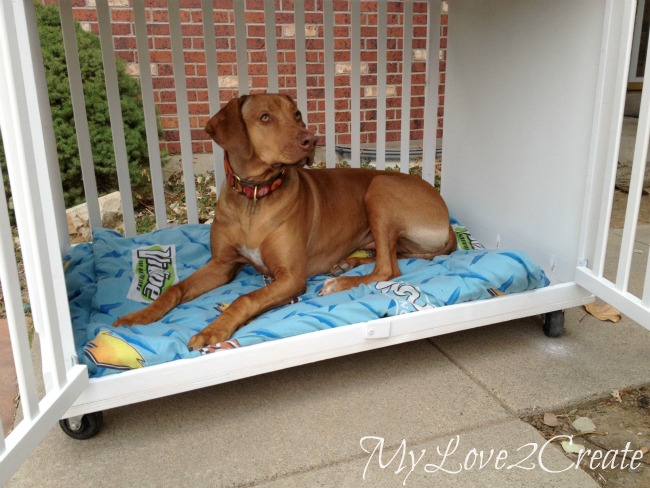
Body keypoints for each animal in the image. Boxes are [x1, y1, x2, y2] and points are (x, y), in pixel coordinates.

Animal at [114, 93, 454, 348]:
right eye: (265, 117)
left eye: (298, 114)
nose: (311, 139)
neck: (254, 198)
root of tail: (449, 222)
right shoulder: (221, 265)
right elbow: (175, 289)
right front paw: (139, 316)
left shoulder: (290, 278)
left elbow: (245, 299)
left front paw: (213, 330)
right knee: (389, 257)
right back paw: (345, 264)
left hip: (379, 188)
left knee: (387, 268)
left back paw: (340, 282)